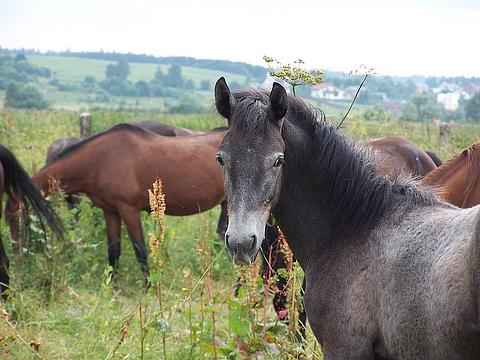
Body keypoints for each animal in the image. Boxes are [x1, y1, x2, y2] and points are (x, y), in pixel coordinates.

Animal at [7, 125, 225, 280]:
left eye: (13, 217)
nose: (16, 256)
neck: (100, 160)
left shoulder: (129, 210)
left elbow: (140, 250)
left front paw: (148, 286)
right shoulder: (110, 211)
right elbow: (113, 250)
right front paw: (111, 284)